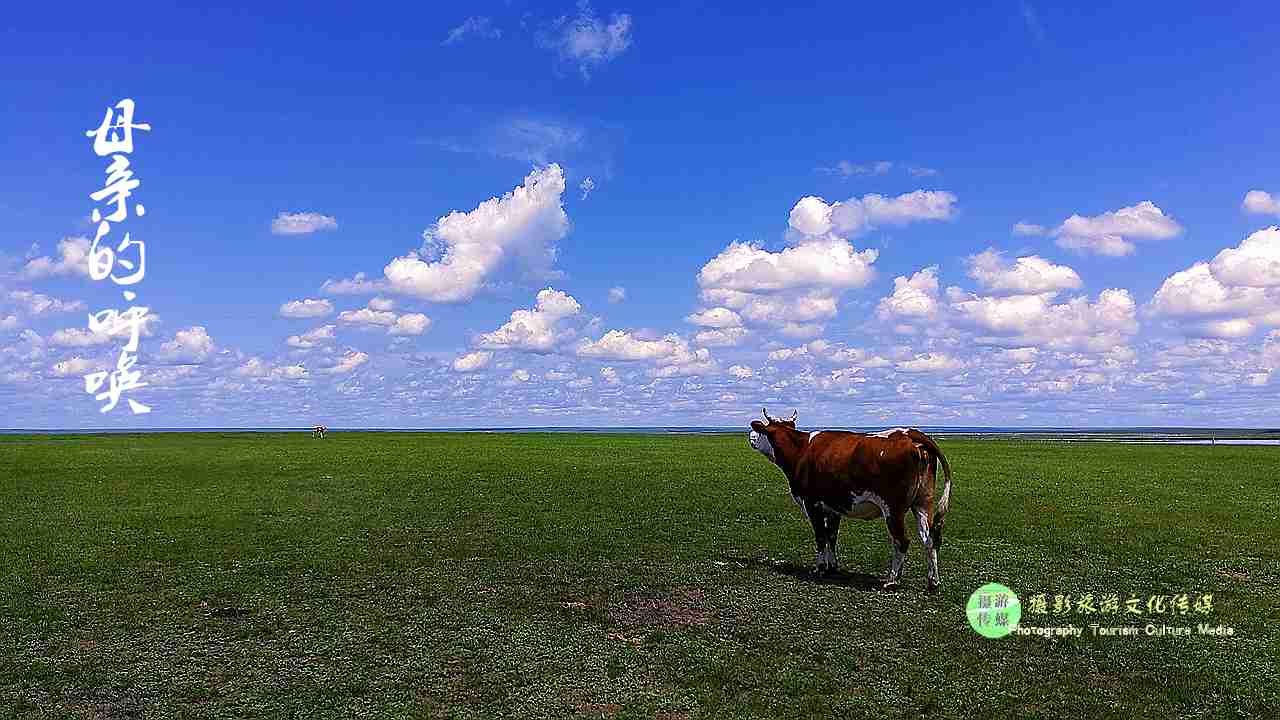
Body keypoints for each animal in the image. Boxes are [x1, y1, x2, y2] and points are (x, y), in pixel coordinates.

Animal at [747, 407, 952, 591]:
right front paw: (832, 567)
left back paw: (892, 580)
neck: (801, 450)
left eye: (762, 428)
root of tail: (910, 433)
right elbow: (831, 536)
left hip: (893, 508)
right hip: (923, 502)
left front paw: (820, 569)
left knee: (902, 540)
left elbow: (820, 536)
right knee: (930, 537)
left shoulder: (812, 503)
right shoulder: (833, 506)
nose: (750, 435)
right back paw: (933, 581)